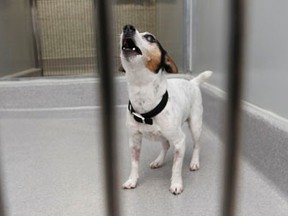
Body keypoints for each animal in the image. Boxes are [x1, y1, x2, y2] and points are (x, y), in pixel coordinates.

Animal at [119, 24, 212, 195]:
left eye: (150, 37)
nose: (128, 27)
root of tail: (193, 82)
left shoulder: (180, 141)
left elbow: (176, 166)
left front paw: (176, 184)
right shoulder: (134, 141)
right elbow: (134, 164)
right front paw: (132, 181)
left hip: (195, 125)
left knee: (196, 145)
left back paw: (194, 162)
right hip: (164, 135)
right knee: (165, 145)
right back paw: (158, 161)